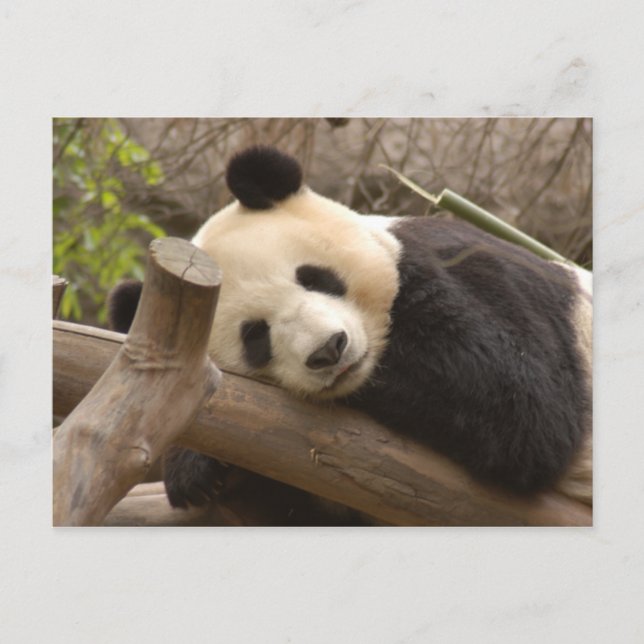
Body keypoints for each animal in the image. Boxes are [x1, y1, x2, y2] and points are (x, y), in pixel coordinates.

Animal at [108, 145, 592, 513]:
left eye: (315, 277)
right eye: (255, 336)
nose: (329, 350)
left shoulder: (471, 267)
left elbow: (523, 405)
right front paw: (197, 472)